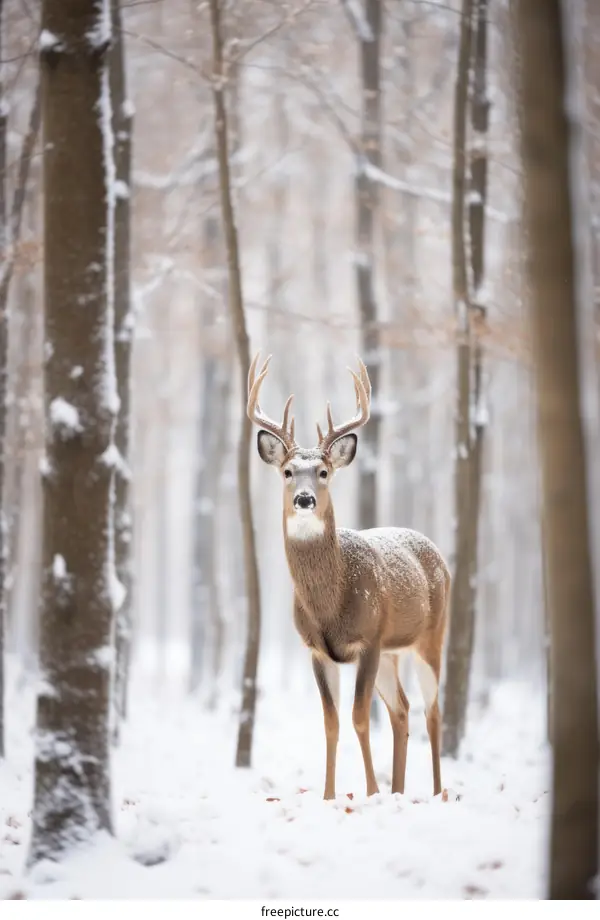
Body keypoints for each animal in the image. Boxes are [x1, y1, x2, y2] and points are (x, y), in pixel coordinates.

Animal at [247, 352, 450, 801]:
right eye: (288, 471)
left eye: (324, 472)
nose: (305, 499)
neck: (331, 604)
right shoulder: (317, 650)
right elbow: (331, 722)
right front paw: (329, 797)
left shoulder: (369, 639)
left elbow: (358, 718)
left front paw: (371, 793)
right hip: (393, 653)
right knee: (402, 709)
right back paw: (399, 792)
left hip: (430, 637)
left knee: (432, 710)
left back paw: (435, 793)